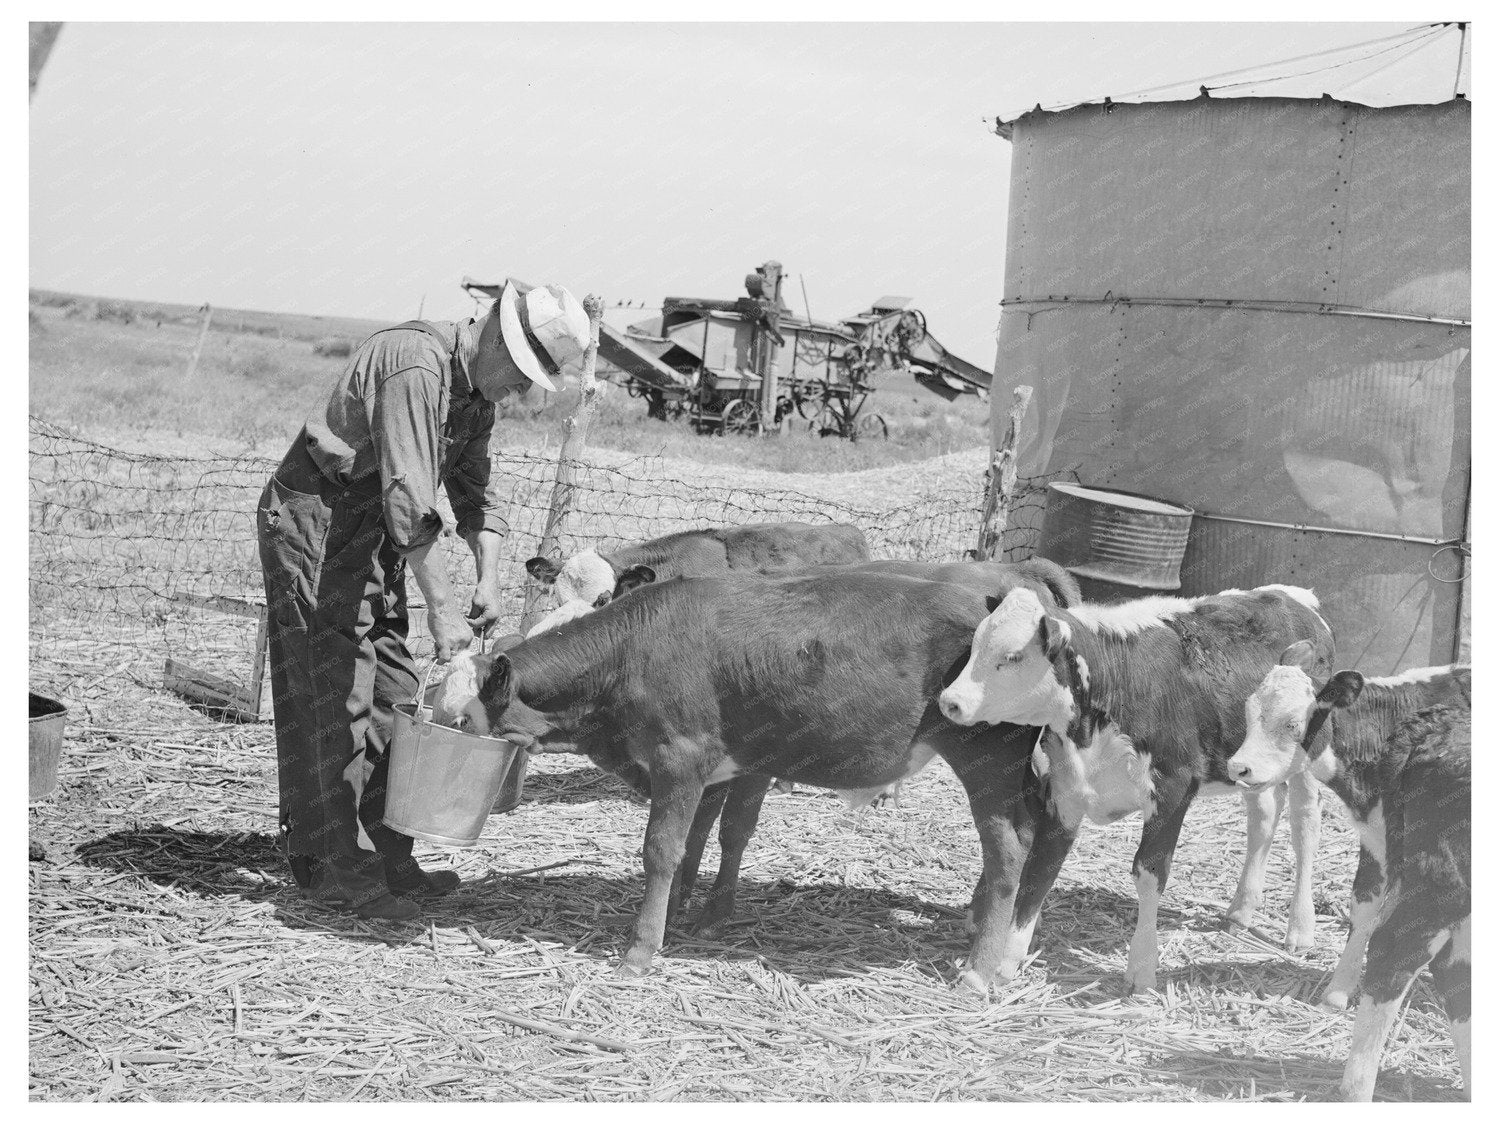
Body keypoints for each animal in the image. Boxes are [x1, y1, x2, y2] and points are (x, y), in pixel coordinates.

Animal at [465, 568, 1059, 982]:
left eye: (464, 719)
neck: (632, 650)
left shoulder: (679, 756)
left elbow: (662, 848)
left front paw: (641, 948)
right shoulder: (735, 764)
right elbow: (714, 836)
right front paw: (692, 912)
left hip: (988, 767)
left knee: (1008, 854)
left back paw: (979, 971)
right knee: (1028, 837)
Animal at [937, 584, 1336, 993]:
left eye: (1013, 656)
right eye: (975, 645)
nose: (950, 701)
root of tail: (1293, 596)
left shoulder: (1172, 790)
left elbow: (1149, 872)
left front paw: (1142, 969)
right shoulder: (1065, 793)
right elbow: (1040, 870)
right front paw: (1007, 960)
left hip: (1305, 760)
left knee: (1305, 825)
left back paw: (1300, 929)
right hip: (1250, 763)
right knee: (1264, 813)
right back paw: (1240, 911)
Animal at [1227, 651, 1470, 1101]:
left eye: (1293, 723)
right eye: (1250, 713)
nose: (1239, 767)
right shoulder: (1377, 841)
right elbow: (1363, 906)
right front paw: (1337, 993)